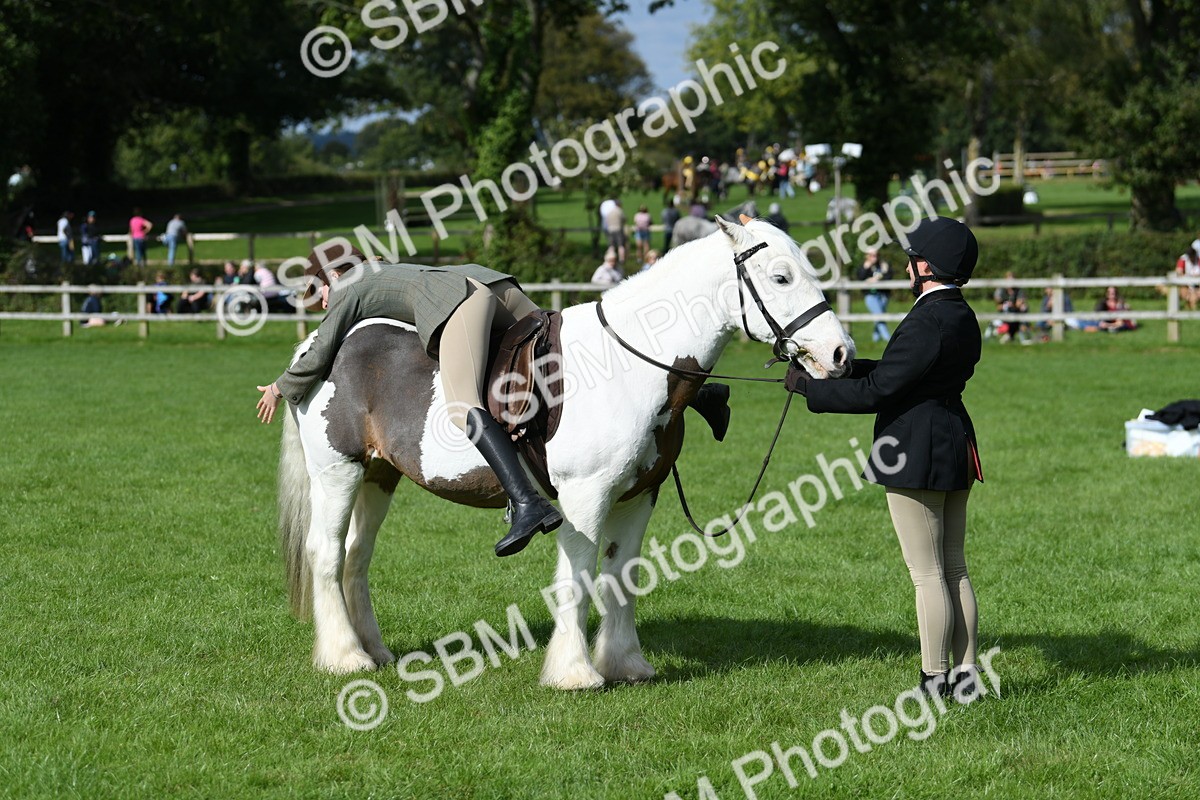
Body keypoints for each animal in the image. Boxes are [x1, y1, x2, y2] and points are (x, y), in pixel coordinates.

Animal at [277, 217, 855, 687]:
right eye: (781, 277)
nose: (840, 354)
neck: (631, 364)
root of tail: (317, 349)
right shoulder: (585, 497)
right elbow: (576, 579)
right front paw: (574, 672)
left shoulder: (638, 497)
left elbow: (622, 575)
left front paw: (625, 664)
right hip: (338, 472)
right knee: (326, 553)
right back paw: (344, 658)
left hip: (379, 476)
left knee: (356, 556)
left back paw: (373, 651)